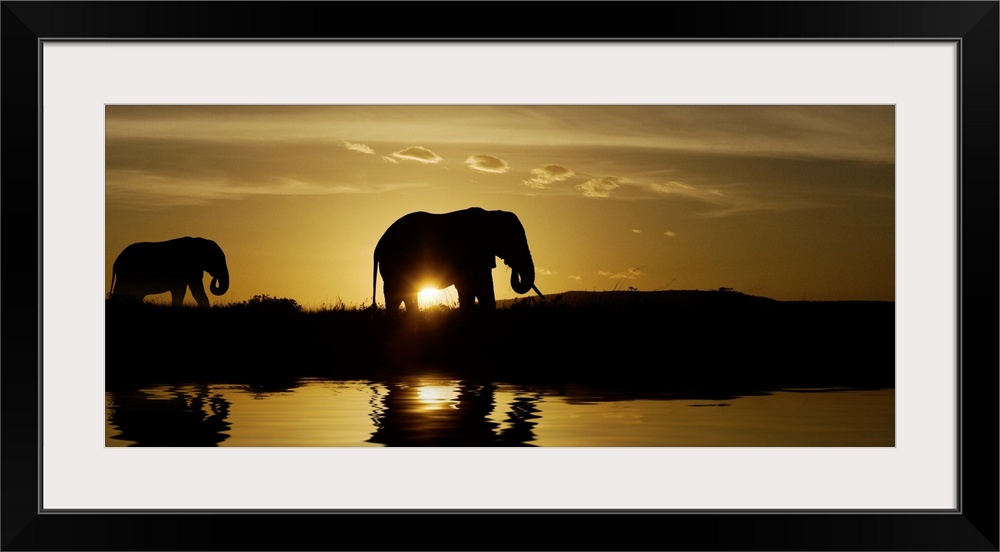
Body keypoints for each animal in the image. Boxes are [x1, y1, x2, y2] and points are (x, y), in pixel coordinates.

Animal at [374, 207, 544, 314]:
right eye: (512, 241)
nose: (512, 265)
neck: (491, 214)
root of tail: (379, 245)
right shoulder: (471, 252)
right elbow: (479, 287)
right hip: (394, 263)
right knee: (396, 295)